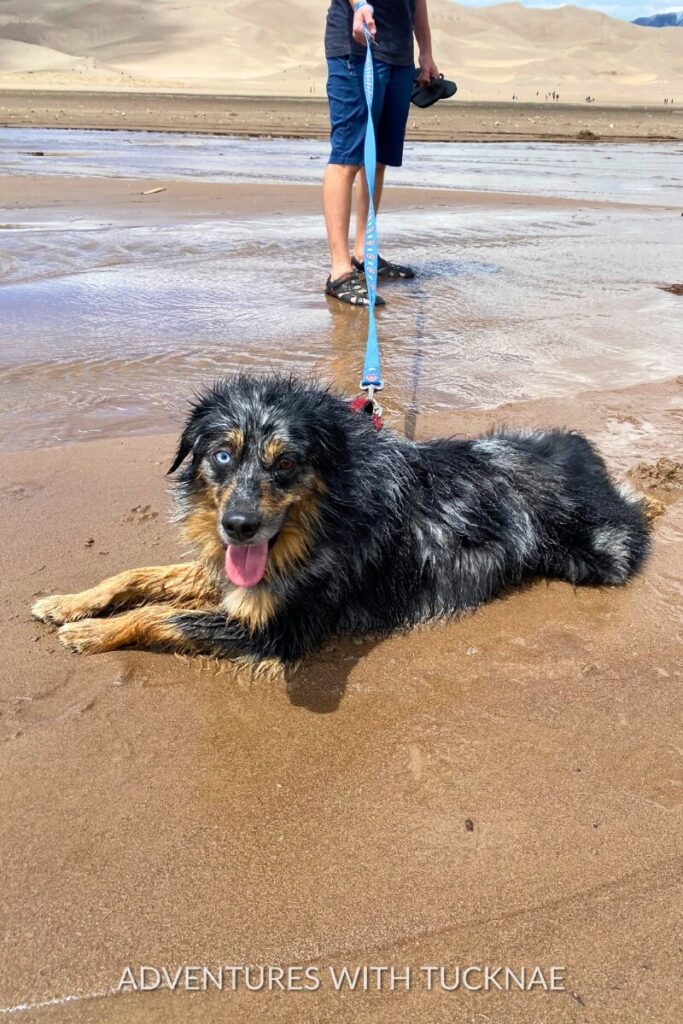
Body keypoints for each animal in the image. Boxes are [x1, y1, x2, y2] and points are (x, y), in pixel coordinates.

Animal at [31, 376, 651, 663]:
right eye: (223, 455)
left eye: (287, 463)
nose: (238, 526)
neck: (318, 521)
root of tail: (585, 455)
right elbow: (139, 576)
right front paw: (68, 603)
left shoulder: (280, 628)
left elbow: (163, 616)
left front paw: (91, 632)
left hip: (603, 552)